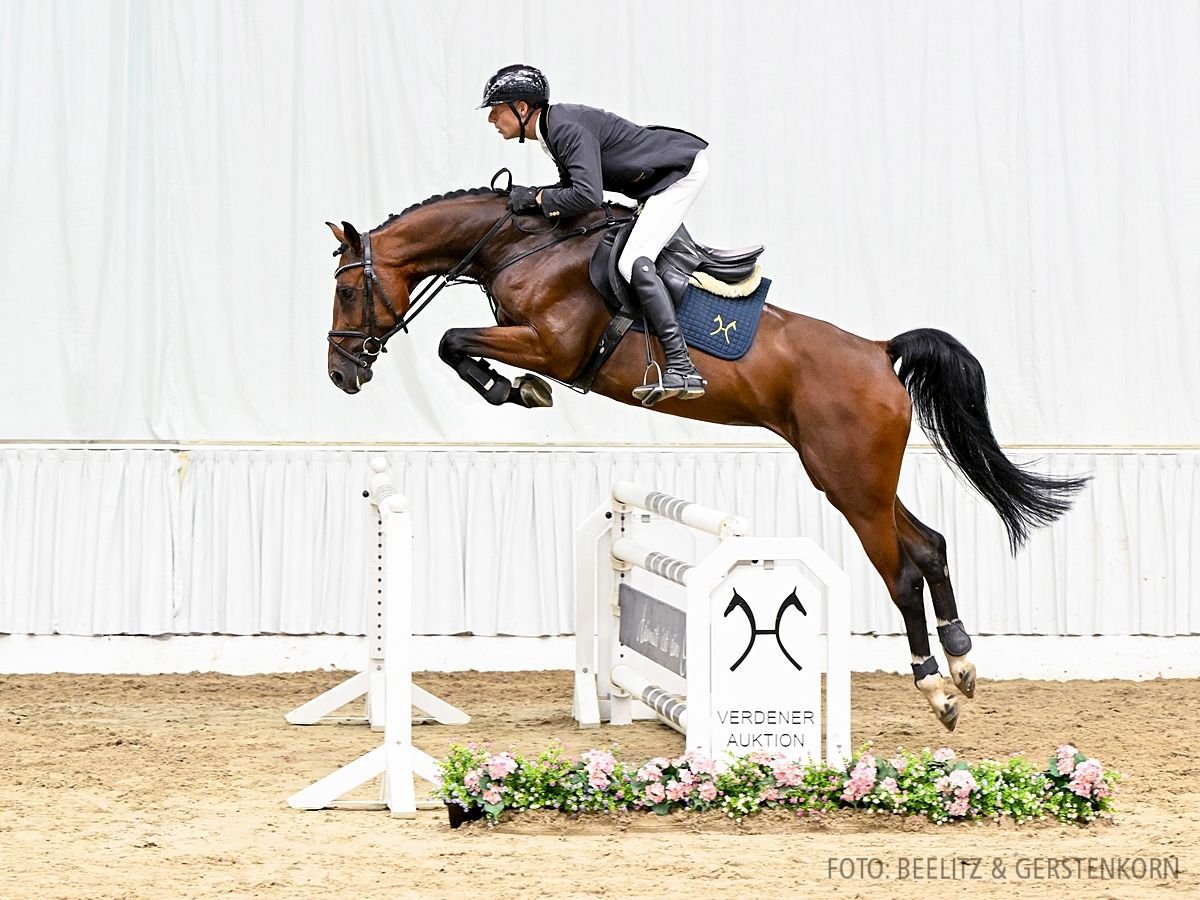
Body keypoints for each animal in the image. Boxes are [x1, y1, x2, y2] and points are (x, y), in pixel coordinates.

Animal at [326, 183, 1089, 734]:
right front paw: (512, 389)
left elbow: (452, 341)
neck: (522, 245)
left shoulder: (551, 344)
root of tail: (879, 352)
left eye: (345, 290)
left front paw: (512, 389)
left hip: (850, 482)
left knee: (901, 571)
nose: (341, 374)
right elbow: (455, 342)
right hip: (852, 476)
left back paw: (936, 688)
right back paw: (962, 663)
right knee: (929, 545)